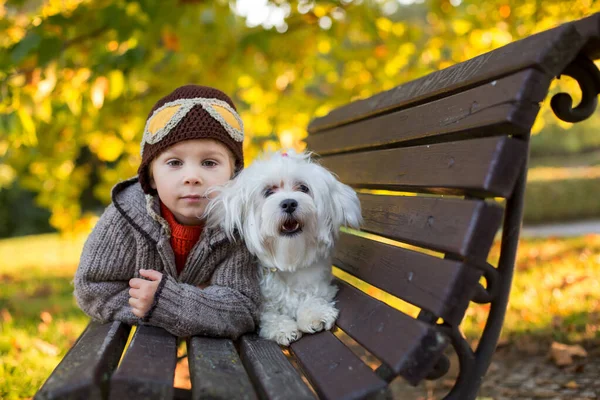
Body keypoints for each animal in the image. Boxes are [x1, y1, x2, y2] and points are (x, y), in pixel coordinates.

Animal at [206, 152, 360, 346]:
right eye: (268, 192)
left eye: (303, 188)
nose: (289, 203)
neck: (288, 260)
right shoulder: (258, 304)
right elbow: (267, 314)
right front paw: (281, 327)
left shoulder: (320, 283)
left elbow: (315, 295)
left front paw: (314, 313)